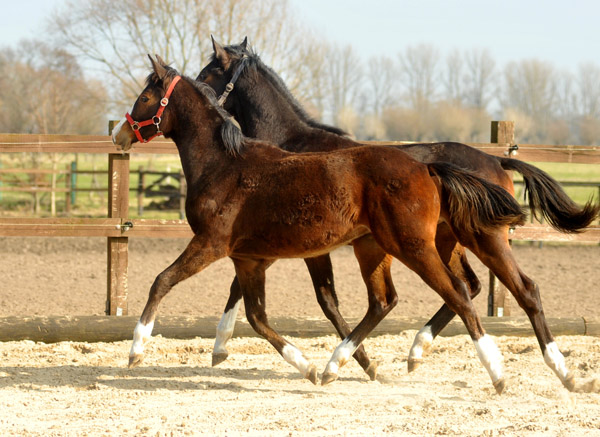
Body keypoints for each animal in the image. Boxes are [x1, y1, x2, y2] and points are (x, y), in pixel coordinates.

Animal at [111, 56, 584, 394]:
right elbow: (256, 315)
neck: (225, 164)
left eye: (146, 97)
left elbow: (162, 280)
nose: (120, 135)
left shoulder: (213, 243)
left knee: (466, 294)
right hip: (392, 246)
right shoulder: (250, 258)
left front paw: (137, 349)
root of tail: (430, 169)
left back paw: (496, 372)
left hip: (422, 244)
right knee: (402, 299)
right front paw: (297, 365)